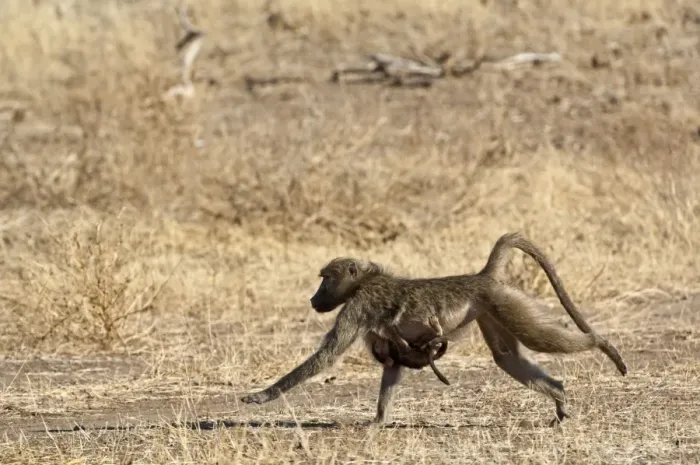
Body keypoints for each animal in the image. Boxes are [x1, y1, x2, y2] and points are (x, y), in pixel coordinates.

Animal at [240, 232, 627, 426]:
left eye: (325, 279)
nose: (313, 299)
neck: (366, 280)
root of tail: (483, 276)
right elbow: (391, 364)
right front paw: (379, 421)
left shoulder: (358, 307)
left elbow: (325, 356)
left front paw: (260, 396)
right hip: (491, 310)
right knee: (506, 357)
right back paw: (559, 397)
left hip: (504, 301)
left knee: (539, 339)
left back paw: (603, 344)